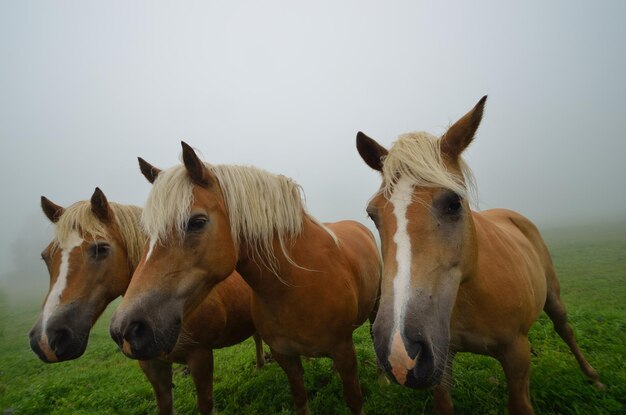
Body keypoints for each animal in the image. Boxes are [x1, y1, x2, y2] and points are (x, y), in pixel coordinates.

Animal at [29, 188, 264, 415]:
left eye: (100, 249)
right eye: (45, 257)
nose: (46, 339)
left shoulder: (201, 356)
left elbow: (205, 404)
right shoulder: (152, 364)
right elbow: (165, 406)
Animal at [108, 142, 380, 412]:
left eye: (197, 222)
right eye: (145, 233)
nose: (126, 329)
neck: (299, 285)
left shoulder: (343, 350)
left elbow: (354, 398)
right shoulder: (285, 356)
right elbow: (300, 398)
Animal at [354, 96, 604, 414]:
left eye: (454, 203)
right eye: (373, 214)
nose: (400, 350)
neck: (471, 293)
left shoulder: (516, 353)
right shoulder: (441, 359)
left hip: (553, 297)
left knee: (565, 329)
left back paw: (593, 377)